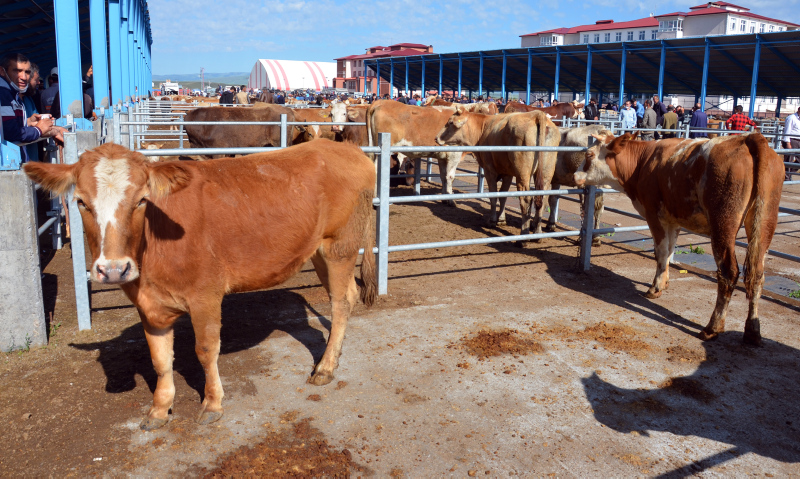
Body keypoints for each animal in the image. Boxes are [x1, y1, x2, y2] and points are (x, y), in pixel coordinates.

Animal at [434, 109, 560, 240]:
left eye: (450, 122)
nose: (436, 138)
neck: (483, 127)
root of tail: (536, 114)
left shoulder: (489, 170)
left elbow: (493, 195)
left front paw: (492, 221)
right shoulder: (508, 173)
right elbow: (503, 195)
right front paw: (501, 219)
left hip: (522, 174)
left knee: (526, 199)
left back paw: (523, 236)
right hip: (545, 173)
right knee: (542, 199)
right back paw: (537, 233)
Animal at [576, 133, 788, 346]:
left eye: (589, 154)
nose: (575, 176)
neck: (642, 162)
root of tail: (750, 138)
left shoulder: (654, 214)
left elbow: (661, 252)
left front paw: (655, 288)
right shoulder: (674, 219)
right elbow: (669, 250)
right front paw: (664, 282)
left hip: (723, 222)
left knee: (729, 272)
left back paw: (712, 327)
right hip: (764, 221)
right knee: (757, 275)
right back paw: (752, 330)